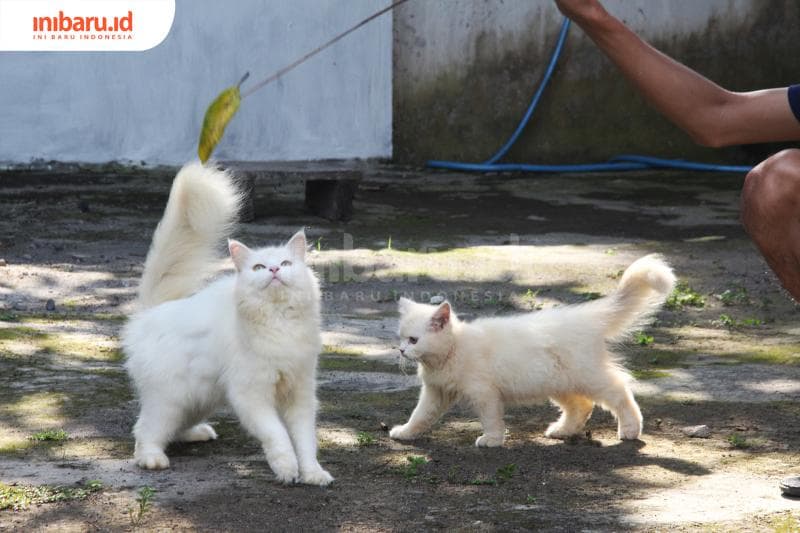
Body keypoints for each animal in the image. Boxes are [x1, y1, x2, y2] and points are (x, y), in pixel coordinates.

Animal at [121, 163, 332, 486]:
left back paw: (198, 433)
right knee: (145, 429)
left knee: (173, 427)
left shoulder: (300, 393)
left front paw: (312, 474)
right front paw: (286, 469)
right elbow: (278, 436)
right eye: (259, 268)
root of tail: (151, 312)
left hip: (201, 397)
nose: (273, 270)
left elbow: (305, 440)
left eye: (285, 264)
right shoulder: (251, 395)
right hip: (171, 398)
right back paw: (153, 459)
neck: (279, 322)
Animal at [390, 256, 672, 446]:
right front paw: (405, 433)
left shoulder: (484, 393)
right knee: (582, 406)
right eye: (401, 338)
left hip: (589, 376)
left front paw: (492, 440)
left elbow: (491, 419)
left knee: (620, 392)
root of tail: (585, 315)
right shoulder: (435, 393)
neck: (451, 351)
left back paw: (631, 429)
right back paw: (563, 431)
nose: (402, 351)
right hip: (559, 383)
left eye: (413, 340)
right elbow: (420, 416)